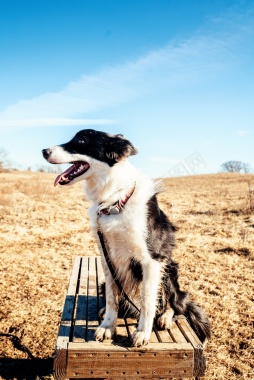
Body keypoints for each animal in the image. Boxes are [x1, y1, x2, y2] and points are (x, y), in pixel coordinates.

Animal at [42, 129, 211, 346]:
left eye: (80, 141)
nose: (44, 151)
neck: (115, 202)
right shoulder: (107, 258)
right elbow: (111, 297)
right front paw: (108, 325)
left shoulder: (152, 260)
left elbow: (147, 301)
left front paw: (142, 332)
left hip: (169, 270)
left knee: (175, 303)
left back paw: (165, 317)